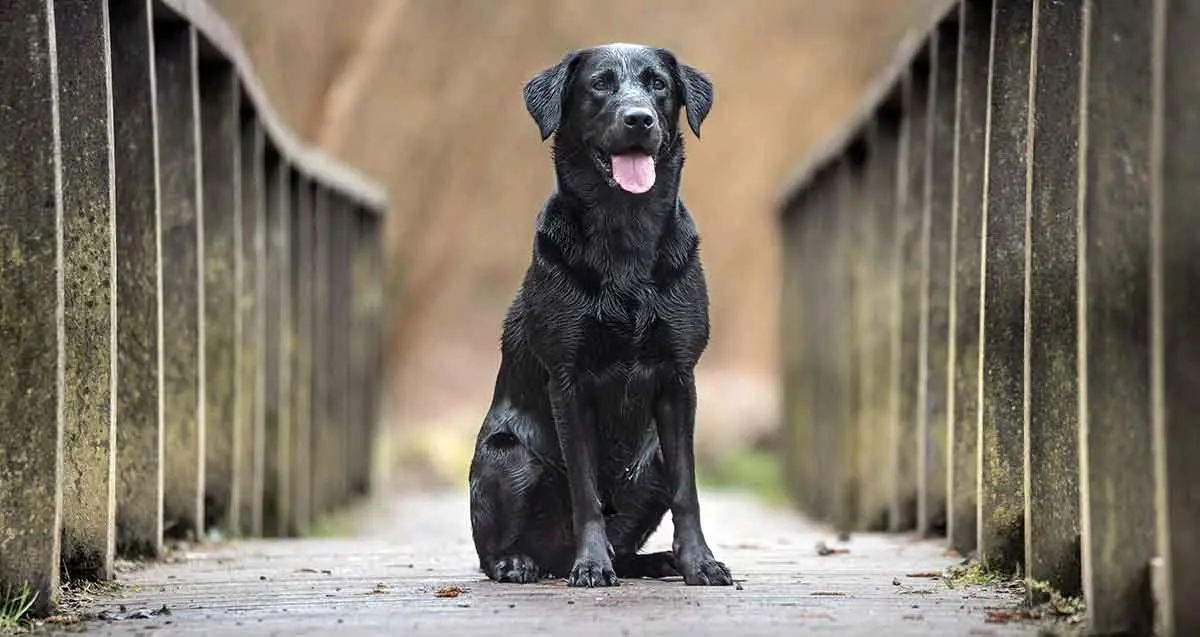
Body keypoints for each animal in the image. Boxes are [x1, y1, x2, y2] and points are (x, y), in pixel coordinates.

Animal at [468, 43, 729, 587]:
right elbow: (585, 491)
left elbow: (688, 490)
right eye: (600, 84)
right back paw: (520, 563)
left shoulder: (679, 378)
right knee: (492, 552)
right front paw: (591, 566)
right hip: (508, 455)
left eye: (658, 85)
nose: (639, 119)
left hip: (650, 461)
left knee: (628, 541)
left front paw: (699, 562)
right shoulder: (569, 380)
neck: (624, 232)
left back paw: (657, 561)